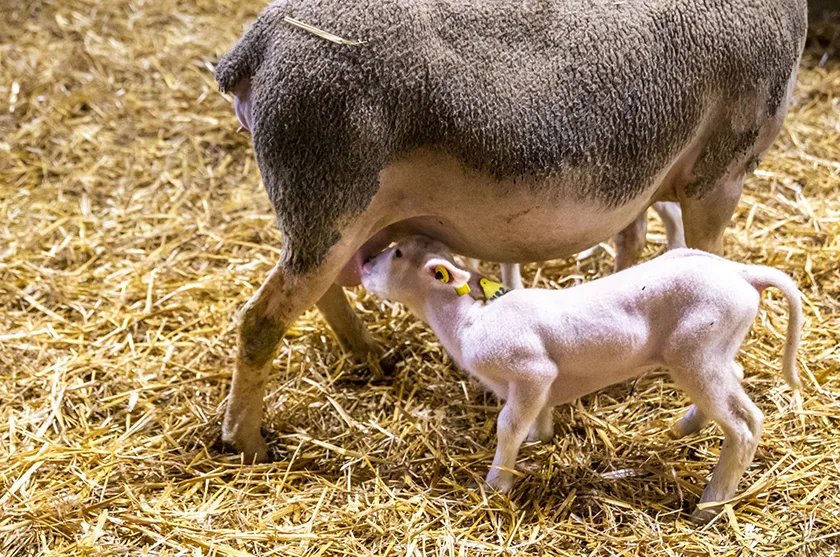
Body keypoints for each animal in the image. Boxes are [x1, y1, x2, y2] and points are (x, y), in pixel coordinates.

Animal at [217, 0, 808, 460]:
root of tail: (258, 46)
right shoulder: (720, 172)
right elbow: (706, 255)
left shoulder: (639, 179)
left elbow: (631, 242)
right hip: (330, 196)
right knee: (262, 321)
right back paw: (246, 441)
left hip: (323, 214)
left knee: (319, 293)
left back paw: (368, 355)